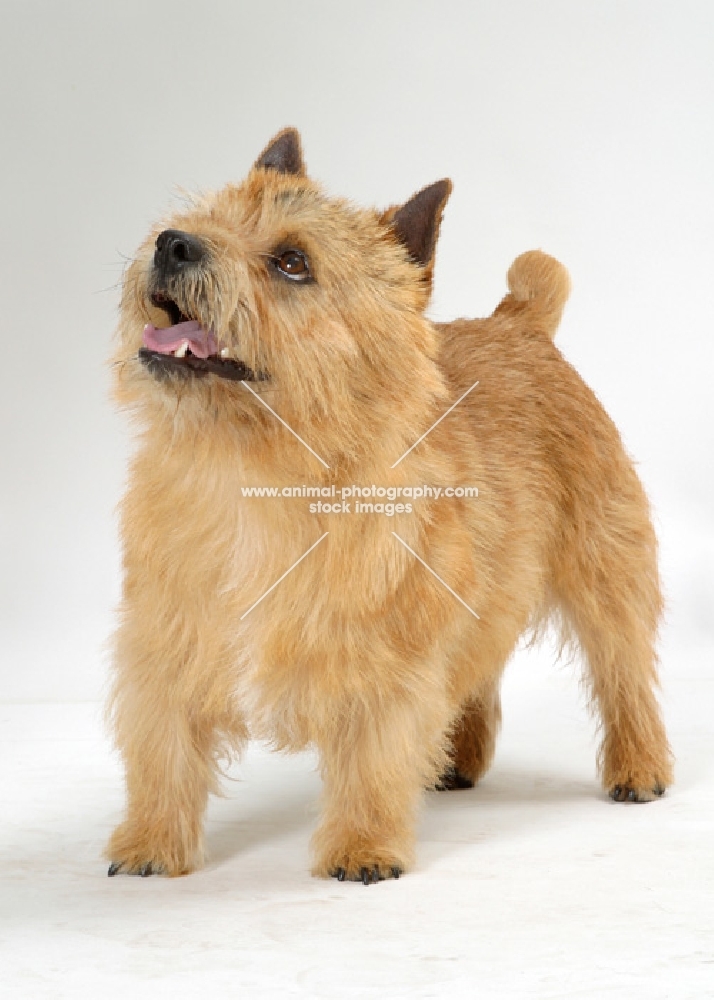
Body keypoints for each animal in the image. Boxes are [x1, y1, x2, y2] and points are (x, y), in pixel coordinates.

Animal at [104, 129, 668, 888]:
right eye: (207, 219)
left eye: (292, 263)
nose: (174, 243)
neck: (250, 473)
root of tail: (519, 323)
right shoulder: (165, 642)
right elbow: (161, 749)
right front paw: (151, 842)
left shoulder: (386, 651)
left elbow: (372, 754)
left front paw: (362, 847)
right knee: (479, 670)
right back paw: (457, 759)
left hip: (605, 572)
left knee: (624, 672)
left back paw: (640, 767)